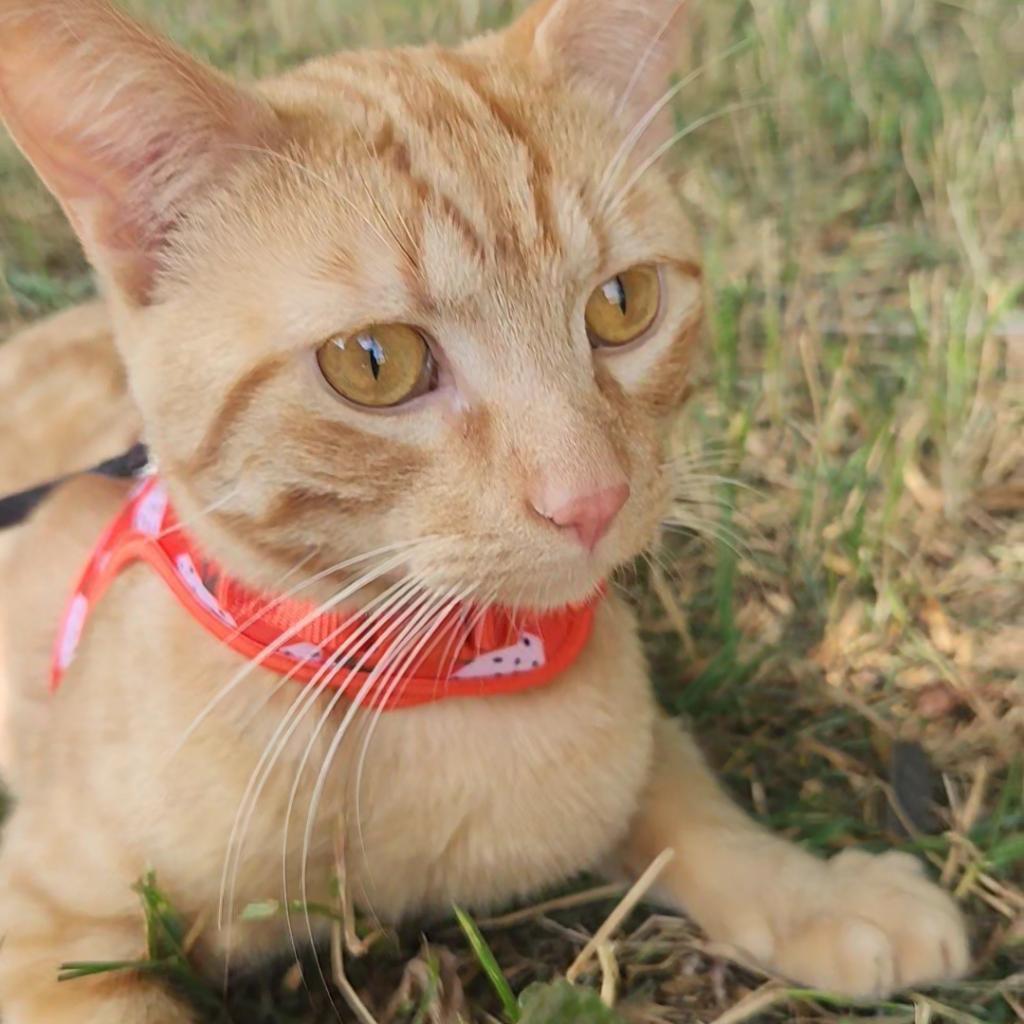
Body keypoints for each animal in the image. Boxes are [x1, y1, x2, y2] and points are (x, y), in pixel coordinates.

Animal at [0, 2, 966, 1024]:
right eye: (373, 362)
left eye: (623, 304)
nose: (591, 499)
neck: (442, 678)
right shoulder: (44, 931)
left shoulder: (632, 743)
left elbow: (685, 797)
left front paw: (820, 895)